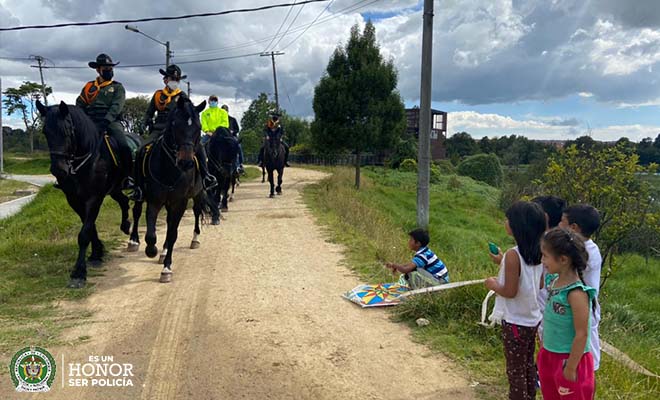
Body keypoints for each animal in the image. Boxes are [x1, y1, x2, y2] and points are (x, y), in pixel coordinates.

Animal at [36, 100, 138, 289]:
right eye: (45, 132)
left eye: (67, 131)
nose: (58, 170)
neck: (90, 159)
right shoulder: (74, 200)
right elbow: (90, 228)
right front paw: (97, 254)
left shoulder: (94, 198)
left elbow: (84, 234)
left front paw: (78, 273)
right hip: (114, 189)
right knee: (123, 201)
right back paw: (125, 225)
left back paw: (135, 239)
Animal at [130, 97, 208, 283]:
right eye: (175, 125)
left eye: (198, 128)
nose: (186, 162)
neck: (170, 170)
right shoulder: (154, 201)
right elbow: (151, 234)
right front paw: (152, 250)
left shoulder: (180, 203)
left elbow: (173, 233)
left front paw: (166, 267)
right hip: (144, 196)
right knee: (137, 212)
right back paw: (134, 242)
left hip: (197, 194)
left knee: (196, 211)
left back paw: (194, 239)